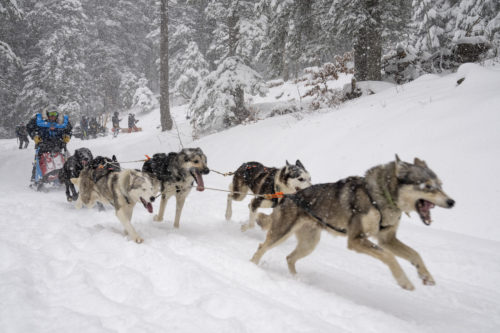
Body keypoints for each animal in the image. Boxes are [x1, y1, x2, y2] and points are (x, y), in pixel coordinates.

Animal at [252, 154, 456, 290]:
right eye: (427, 186)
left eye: (440, 185)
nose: (451, 202)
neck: (379, 196)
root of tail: (289, 196)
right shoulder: (356, 239)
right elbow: (389, 256)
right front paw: (403, 280)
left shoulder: (387, 239)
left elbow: (415, 254)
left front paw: (425, 275)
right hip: (281, 233)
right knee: (261, 247)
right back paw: (252, 267)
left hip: (309, 243)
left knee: (289, 258)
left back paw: (296, 279)